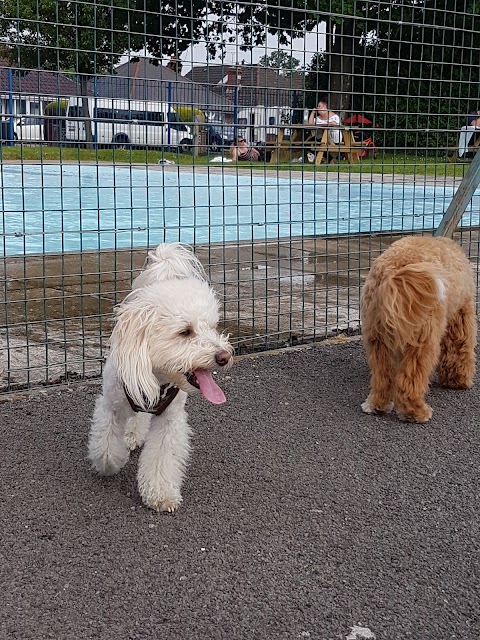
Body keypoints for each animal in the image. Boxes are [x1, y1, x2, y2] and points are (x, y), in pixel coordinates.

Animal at [89, 242, 234, 512]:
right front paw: (113, 462)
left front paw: (160, 494)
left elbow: (161, 458)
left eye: (213, 327)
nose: (224, 356)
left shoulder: (170, 420)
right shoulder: (110, 404)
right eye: (185, 332)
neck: (157, 376)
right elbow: (106, 448)